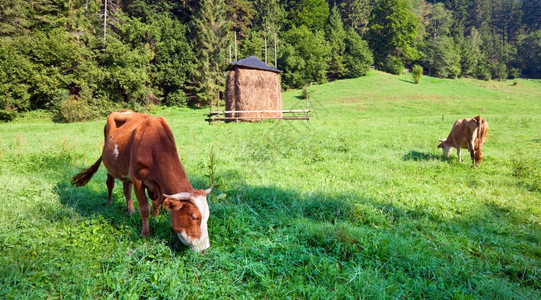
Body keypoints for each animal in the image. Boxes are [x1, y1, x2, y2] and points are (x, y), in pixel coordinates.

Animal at [73, 111, 212, 252]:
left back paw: (130, 210)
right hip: (111, 166)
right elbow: (145, 207)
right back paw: (110, 202)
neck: (153, 145)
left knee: (126, 189)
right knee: (110, 183)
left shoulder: (156, 185)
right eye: (193, 217)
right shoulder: (137, 179)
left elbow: (156, 203)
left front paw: (155, 218)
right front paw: (145, 233)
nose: (204, 248)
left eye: (207, 216)